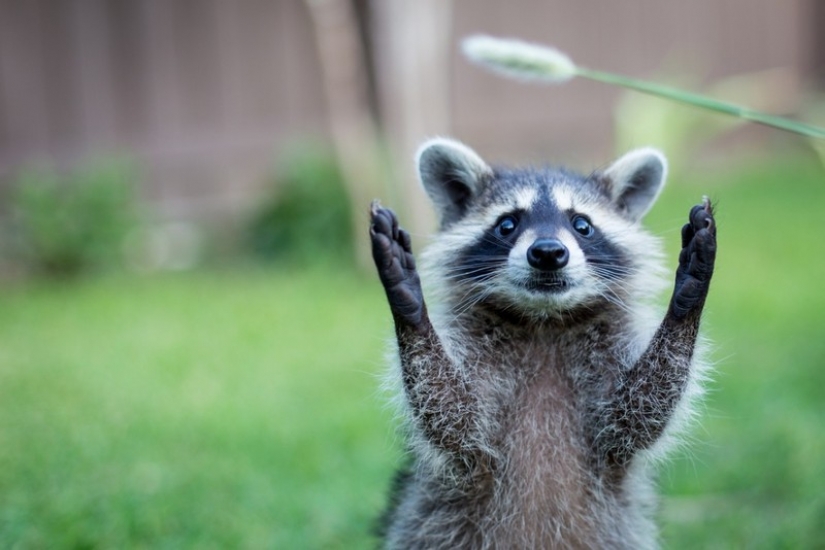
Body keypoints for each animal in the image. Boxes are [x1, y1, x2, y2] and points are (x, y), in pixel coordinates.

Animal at [369, 138, 717, 549]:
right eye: (507, 224)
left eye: (582, 224)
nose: (548, 252)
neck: (544, 322)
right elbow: (452, 414)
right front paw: (409, 305)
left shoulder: (610, 358)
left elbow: (639, 410)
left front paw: (686, 301)